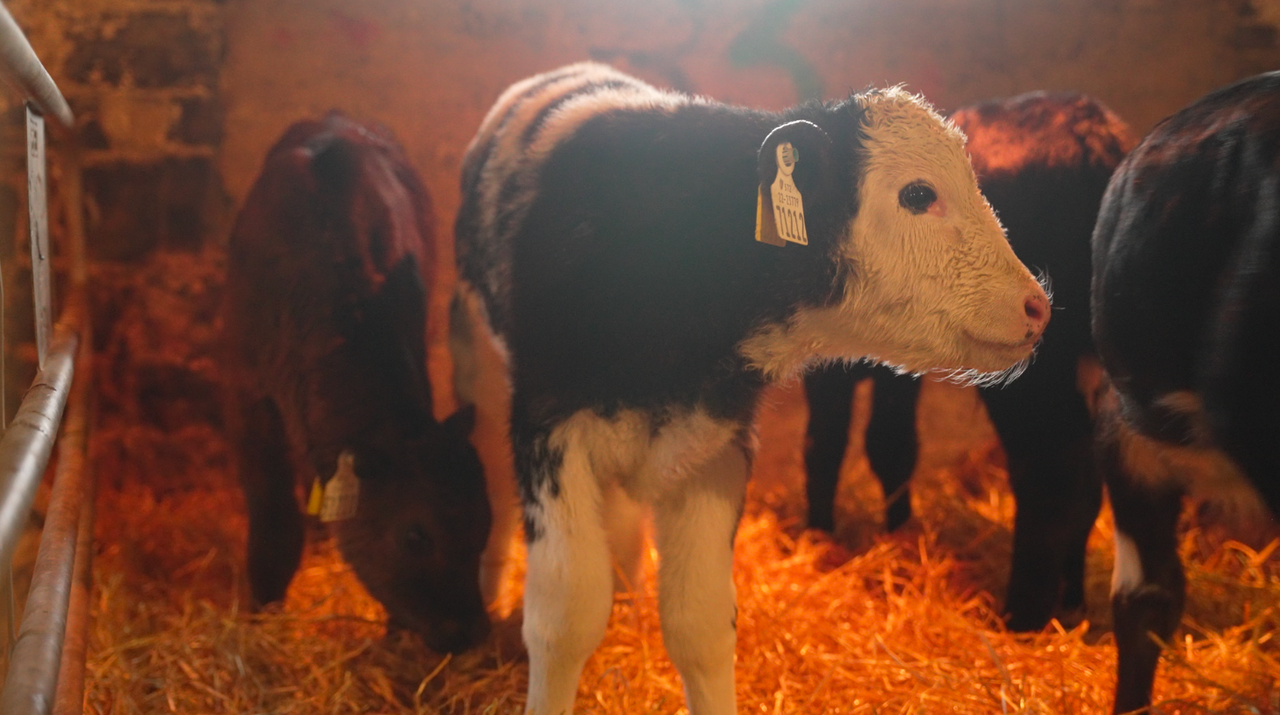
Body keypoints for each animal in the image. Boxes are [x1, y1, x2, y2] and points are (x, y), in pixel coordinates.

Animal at [221, 113, 491, 654]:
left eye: (485, 527)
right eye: (416, 536)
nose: (469, 632)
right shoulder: (249, 397)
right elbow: (273, 526)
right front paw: (261, 620)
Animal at [449, 62, 1050, 715]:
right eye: (918, 195)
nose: (1038, 306)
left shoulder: (718, 445)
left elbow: (701, 623)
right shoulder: (549, 426)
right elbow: (565, 616)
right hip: (481, 363)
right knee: (493, 472)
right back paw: (489, 582)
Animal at [804, 92, 1135, 631]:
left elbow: (824, 441)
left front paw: (817, 536)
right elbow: (891, 443)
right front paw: (898, 535)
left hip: (1035, 369)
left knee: (1053, 470)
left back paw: (1022, 616)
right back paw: (1072, 603)